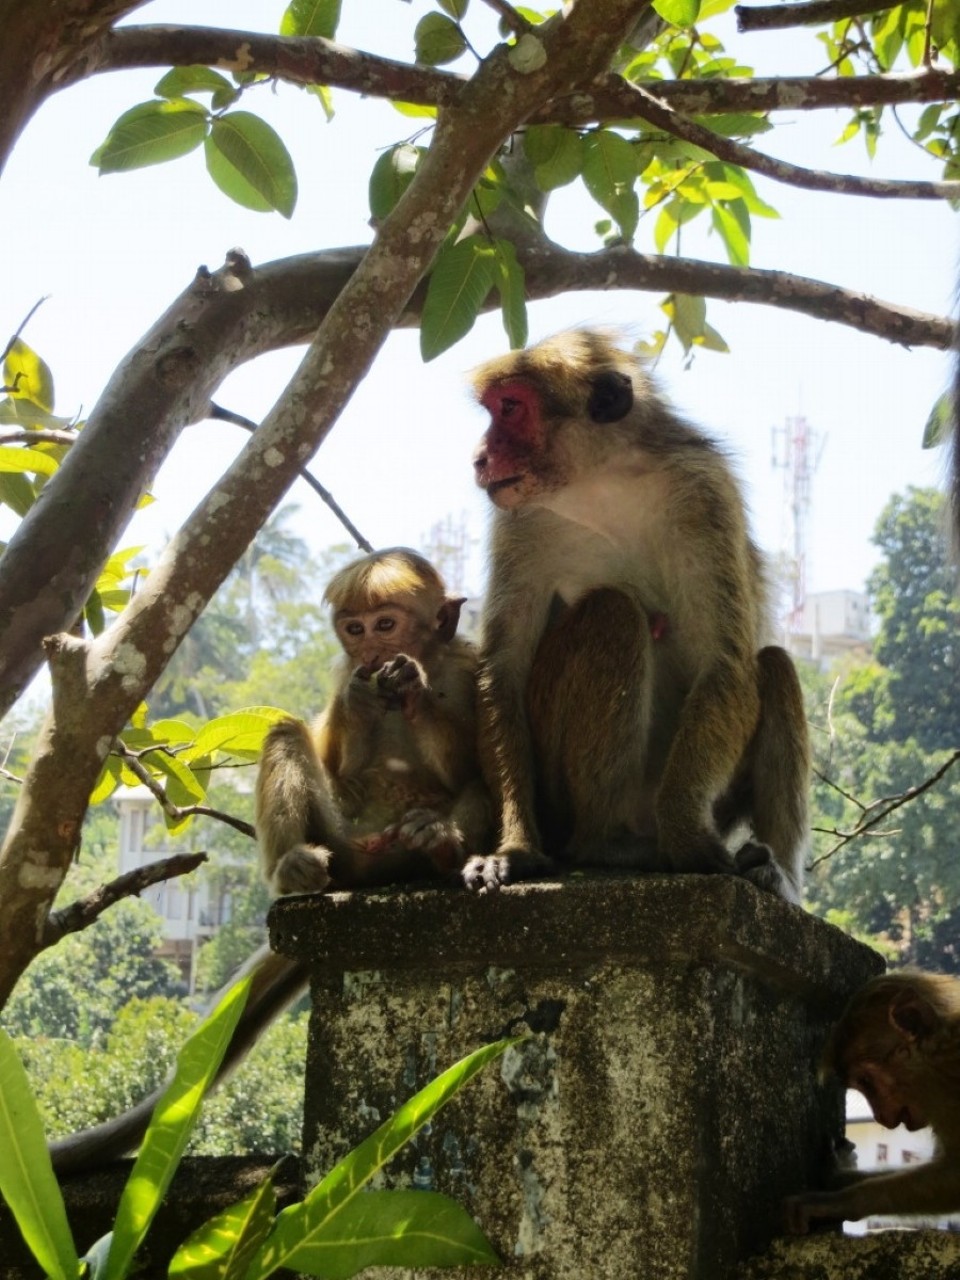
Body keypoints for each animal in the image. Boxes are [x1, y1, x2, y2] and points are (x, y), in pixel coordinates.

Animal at [465, 335, 814, 906]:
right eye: (496, 409)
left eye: (510, 408)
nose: (479, 456)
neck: (600, 482)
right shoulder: (520, 520)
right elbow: (504, 669)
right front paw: (514, 848)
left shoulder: (705, 493)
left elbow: (726, 662)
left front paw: (687, 836)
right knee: (612, 613)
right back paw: (604, 842)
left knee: (773, 666)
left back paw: (776, 874)